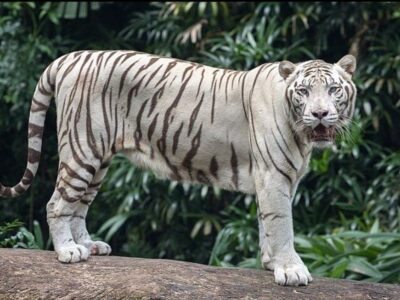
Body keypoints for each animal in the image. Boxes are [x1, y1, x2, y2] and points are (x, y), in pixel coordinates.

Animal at [0, 51, 356, 286]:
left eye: (334, 89)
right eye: (304, 91)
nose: (320, 114)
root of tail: (68, 58)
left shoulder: (275, 178)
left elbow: (265, 223)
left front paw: (270, 264)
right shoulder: (274, 176)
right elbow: (282, 224)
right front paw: (291, 271)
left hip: (97, 159)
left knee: (78, 206)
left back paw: (88, 246)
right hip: (83, 149)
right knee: (57, 203)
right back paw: (68, 251)